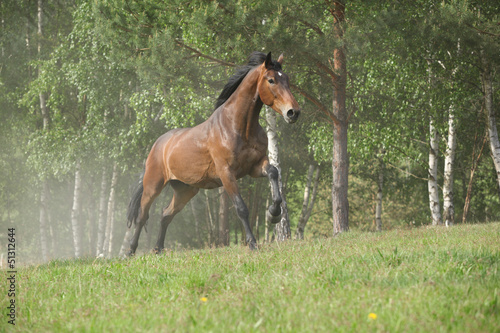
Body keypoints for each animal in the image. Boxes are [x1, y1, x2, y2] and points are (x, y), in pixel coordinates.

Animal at [127, 52, 300, 254]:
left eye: (287, 79)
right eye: (271, 80)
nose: (293, 112)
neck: (238, 127)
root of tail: (158, 144)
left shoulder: (255, 166)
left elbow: (273, 172)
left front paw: (274, 214)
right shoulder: (227, 174)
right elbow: (241, 207)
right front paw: (252, 243)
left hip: (185, 190)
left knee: (165, 215)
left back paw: (158, 249)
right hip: (153, 185)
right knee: (142, 216)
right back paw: (130, 251)